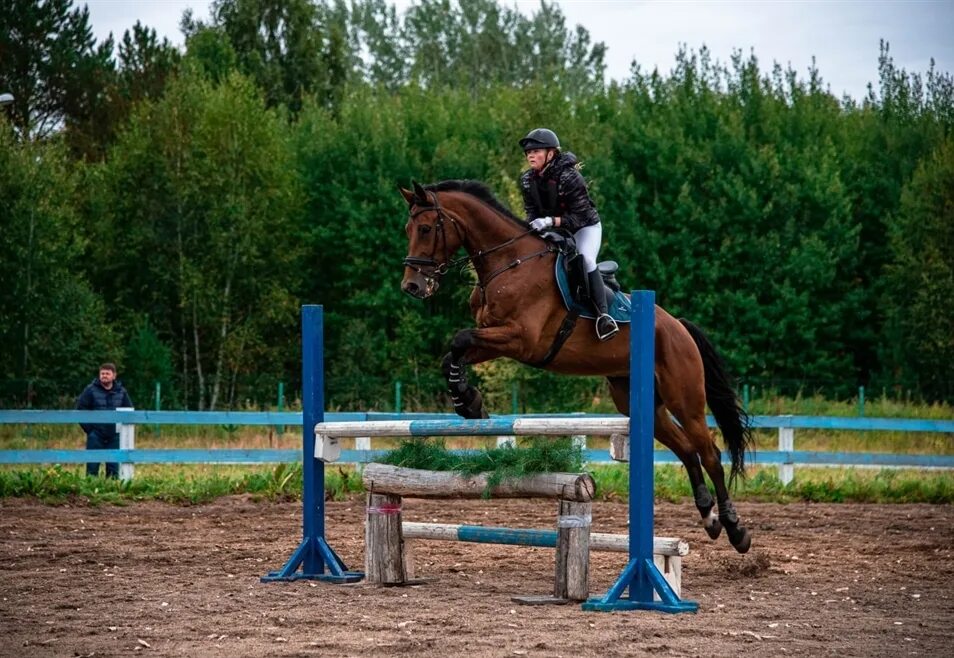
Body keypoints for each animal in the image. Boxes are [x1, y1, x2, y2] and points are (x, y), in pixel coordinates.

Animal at [396, 178, 752, 548]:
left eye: (425, 228)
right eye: (408, 228)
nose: (412, 286)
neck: (510, 261)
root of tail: (678, 327)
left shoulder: (521, 339)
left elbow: (459, 339)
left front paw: (468, 401)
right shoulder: (495, 338)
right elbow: (454, 351)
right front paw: (468, 401)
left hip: (685, 397)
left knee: (709, 453)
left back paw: (735, 529)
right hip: (638, 402)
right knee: (685, 450)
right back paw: (708, 516)